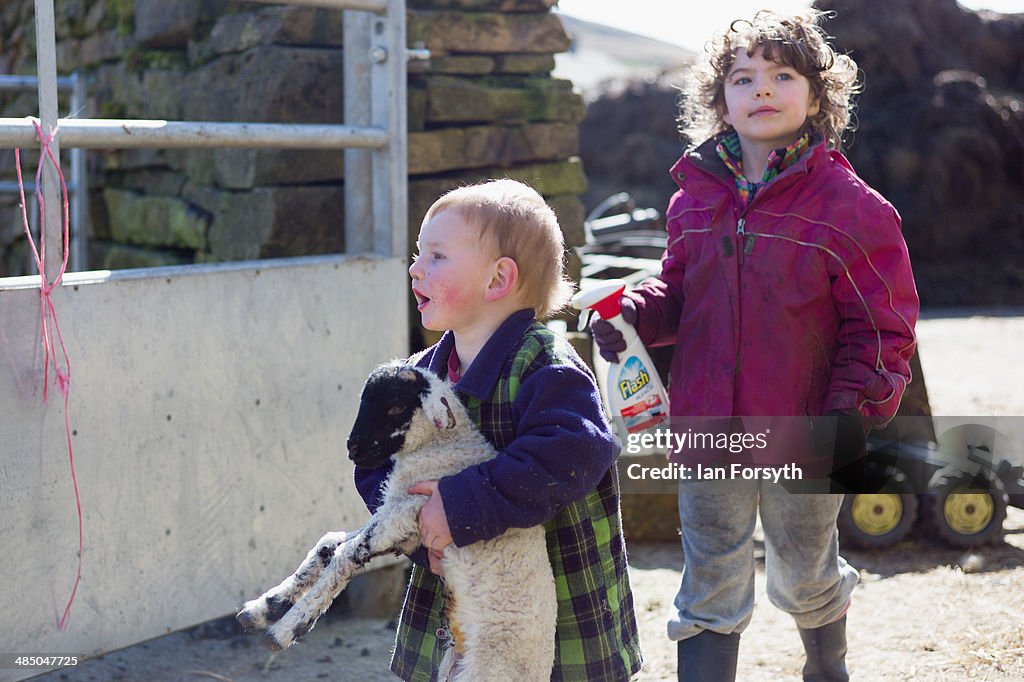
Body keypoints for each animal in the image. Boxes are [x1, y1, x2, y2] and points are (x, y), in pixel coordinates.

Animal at [235, 358, 557, 675]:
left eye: (395, 407)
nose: (353, 449)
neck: (446, 450)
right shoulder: (403, 530)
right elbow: (328, 545)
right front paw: (262, 609)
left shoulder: (410, 513)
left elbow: (345, 554)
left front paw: (284, 631)